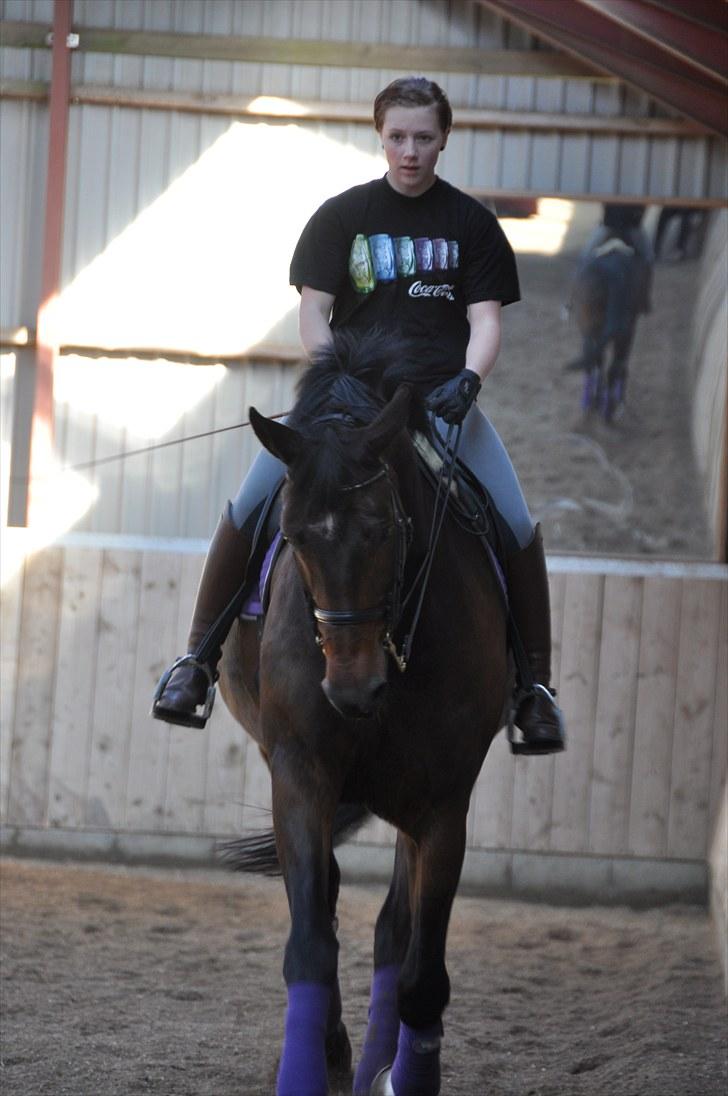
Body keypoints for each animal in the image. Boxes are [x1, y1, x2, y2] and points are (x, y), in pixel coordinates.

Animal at [219, 333, 508, 1096]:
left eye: (381, 529)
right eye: (294, 536)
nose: (351, 690)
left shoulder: (442, 803)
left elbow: (420, 972)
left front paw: (403, 1074)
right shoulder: (298, 773)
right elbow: (310, 944)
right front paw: (312, 1064)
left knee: (391, 934)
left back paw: (380, 1060)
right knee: (329, 905)